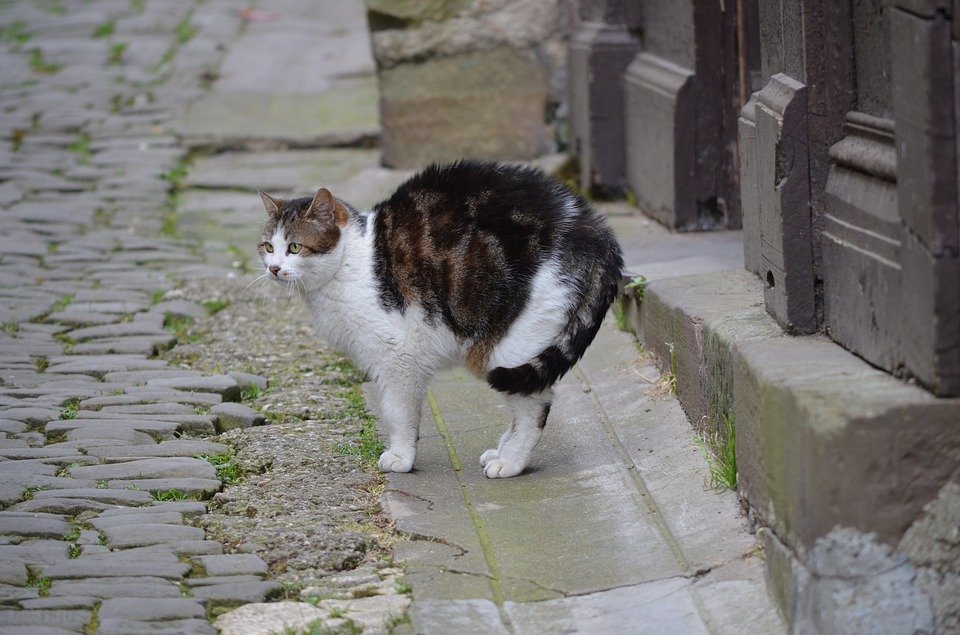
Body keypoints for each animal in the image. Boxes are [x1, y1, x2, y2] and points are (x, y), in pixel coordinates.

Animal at [258, 161, 628, 480]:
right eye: (267, 247)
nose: (273, 268)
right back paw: (501, 452)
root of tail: (595, 227)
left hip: (501, 349)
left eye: (294, 247)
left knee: (535, 407)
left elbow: (397, 412)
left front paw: (401, 457)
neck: (350, 261)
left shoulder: (398, 358)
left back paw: (510, 463)